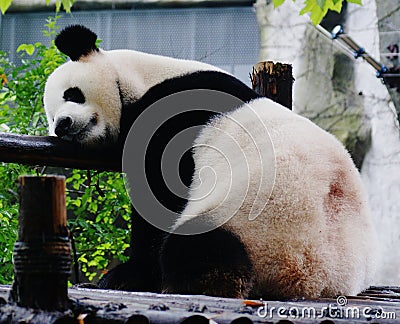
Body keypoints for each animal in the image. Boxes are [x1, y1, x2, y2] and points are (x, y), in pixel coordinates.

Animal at [43, 24, 378, 298]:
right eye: (50, 116)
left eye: (72, 94)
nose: (62, 125)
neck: (138, 78)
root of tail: (310, 280)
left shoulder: (167, 114)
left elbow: (160, 197)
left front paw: (127, 274)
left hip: (253, 224)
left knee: (199, 248)